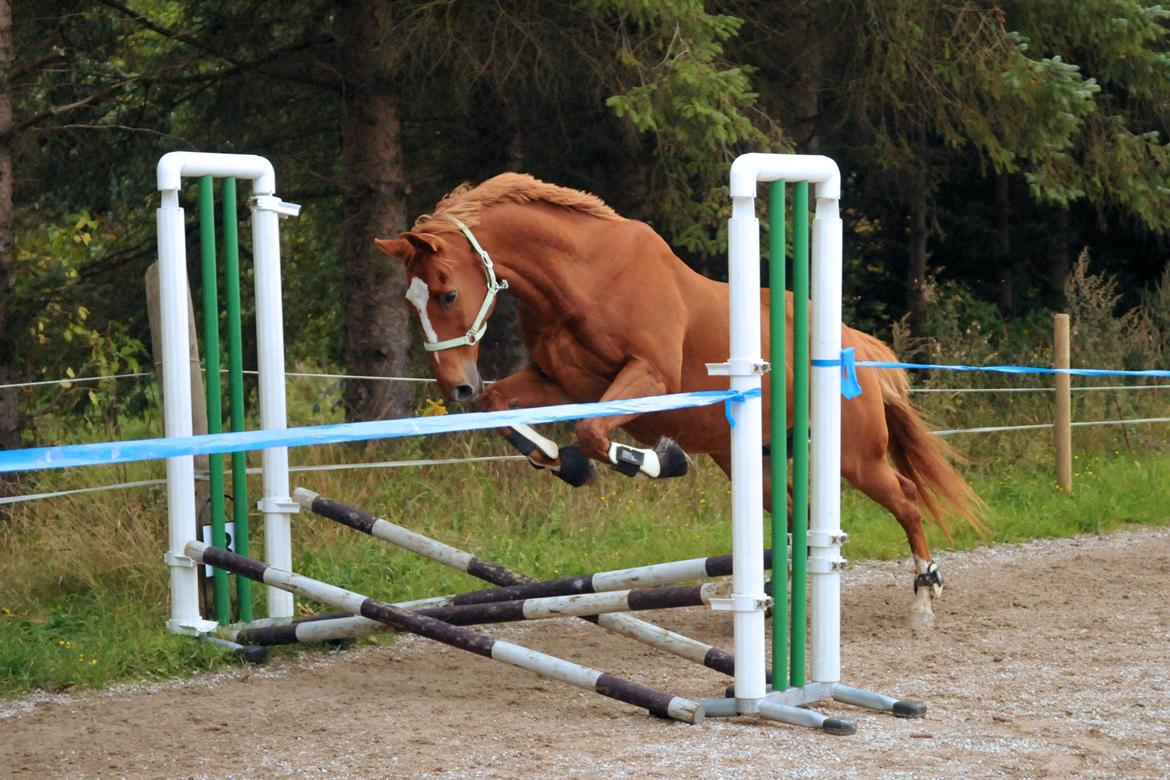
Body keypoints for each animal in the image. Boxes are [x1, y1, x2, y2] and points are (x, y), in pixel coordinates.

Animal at [379, 174, 982, 626]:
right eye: (410, 302)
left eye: (447, 294)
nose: (457, 385)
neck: (583, 276)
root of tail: (853, 343)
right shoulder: (561, 382)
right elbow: (504, 409)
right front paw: (562, 463)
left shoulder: (649, 377)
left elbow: (594, 435)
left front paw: (662, 459)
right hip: (756, 459)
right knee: (797, 514)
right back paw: (777, 598)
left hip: (855, 455)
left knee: (906, 497)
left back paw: (924, 594)